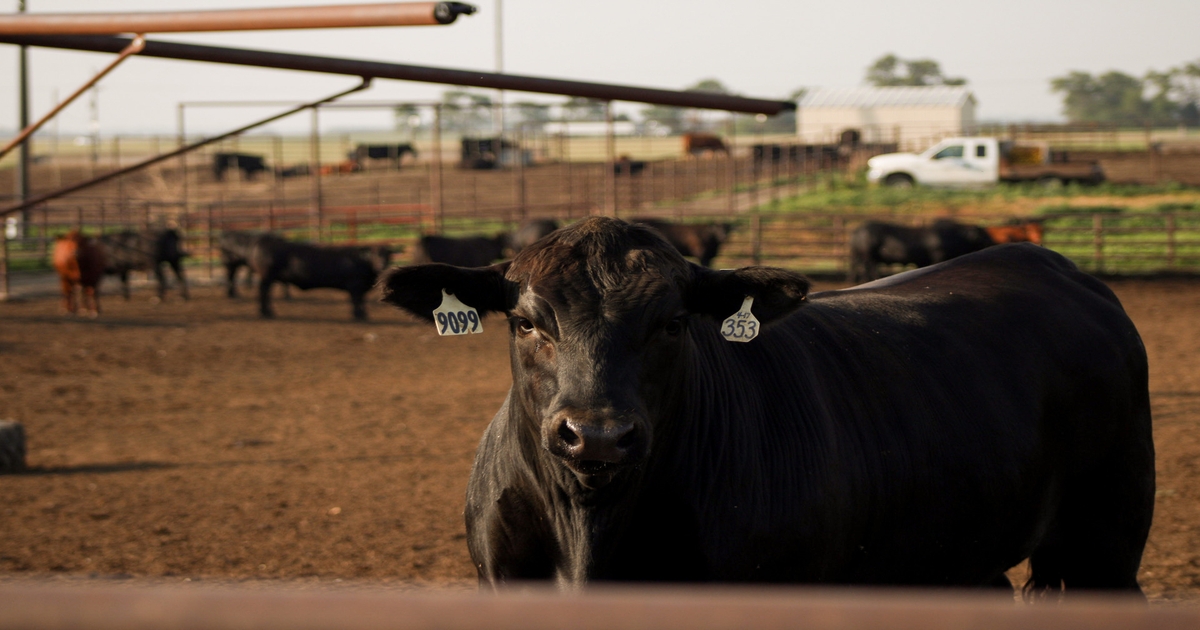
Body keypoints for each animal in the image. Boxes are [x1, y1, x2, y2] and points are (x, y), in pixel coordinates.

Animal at [252, 240, 391, 321]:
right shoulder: (355, 286)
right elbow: (356, 301)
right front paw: (359, 315)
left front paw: (363, 314)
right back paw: (266, 312)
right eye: (374, 254)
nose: (382, 265)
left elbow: (361, 300)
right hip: (266, 277)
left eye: (387, 254)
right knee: (263, 292)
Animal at [849, 219, 998, 280]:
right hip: (868, 253)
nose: (993, 242)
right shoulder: (937, 254)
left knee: (856, 265)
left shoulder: (922, 260)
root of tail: (857, 231)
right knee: (869, 266)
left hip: (860, 254)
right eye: (983, 235)